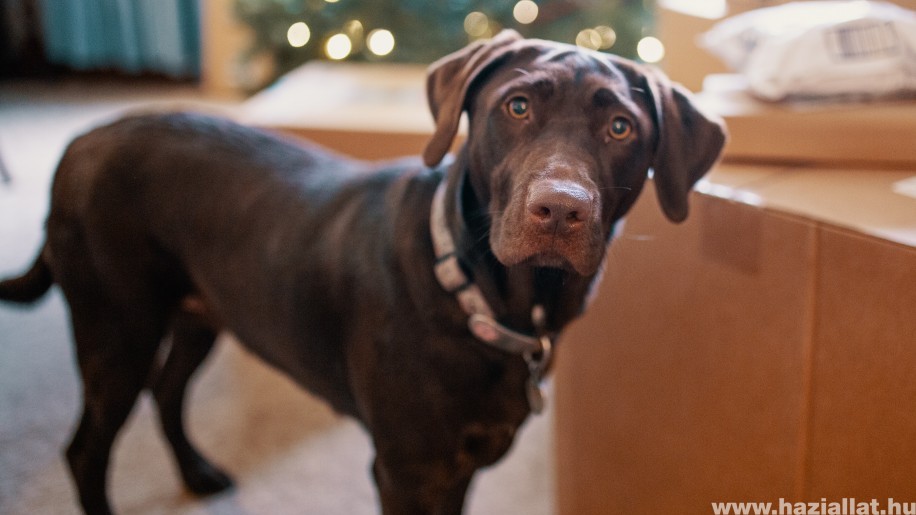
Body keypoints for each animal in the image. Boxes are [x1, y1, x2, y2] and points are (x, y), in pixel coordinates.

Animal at [1, 32, 724, 515]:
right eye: (517, 107)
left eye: (621, 127)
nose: (560, 208)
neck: (483, 298)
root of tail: (84, 140)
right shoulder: (406, 468)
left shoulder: (459, 465)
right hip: (115, 328)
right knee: (86, 449)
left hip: (197, 314)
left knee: (168, 391)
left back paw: (200, 473)